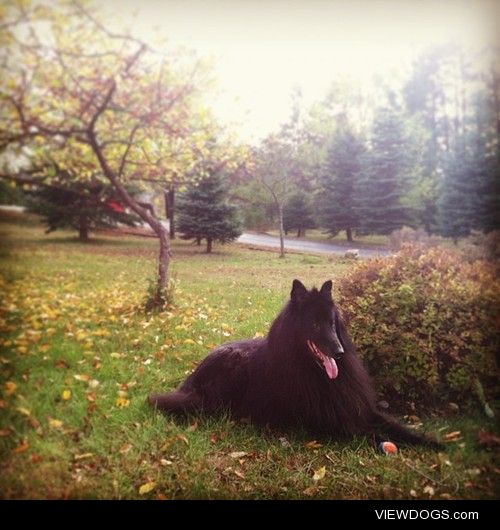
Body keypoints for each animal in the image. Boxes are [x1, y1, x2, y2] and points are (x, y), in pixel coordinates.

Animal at [149, 278, 442, 448]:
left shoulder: (357, 407)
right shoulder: (331, 422)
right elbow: (372, 434)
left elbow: (395, 426)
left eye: (332, 323)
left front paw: (434, 443)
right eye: (315, 325)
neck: (312, 370)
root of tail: (191, 381)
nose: (339, 352)